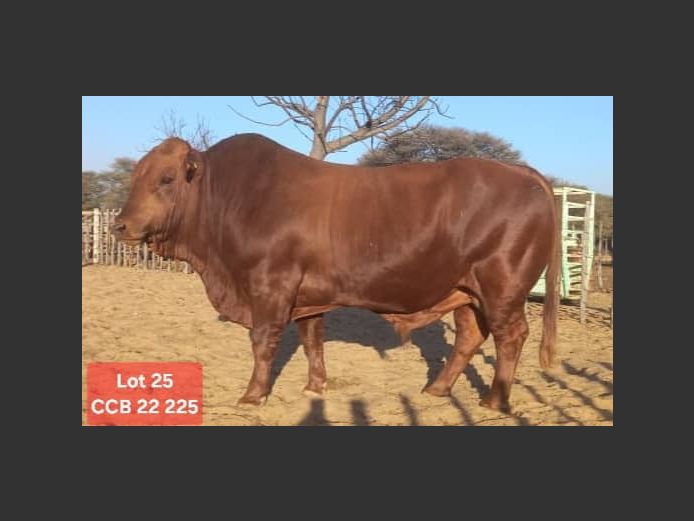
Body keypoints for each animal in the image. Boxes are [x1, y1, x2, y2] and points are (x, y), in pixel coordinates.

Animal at [113, 133, 559, 413]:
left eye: (166, 179)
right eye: (135, 176)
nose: (120, 225)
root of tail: (521, 171)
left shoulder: (271, 286)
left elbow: (263, 343)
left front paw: (253, 396)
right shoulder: (308, 295)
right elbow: (313, 340)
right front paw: (315, 386)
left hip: (502, 286)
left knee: (511, 336)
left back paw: (495, 401)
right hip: (466, 290)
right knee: (470, 336)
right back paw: (435, 389)